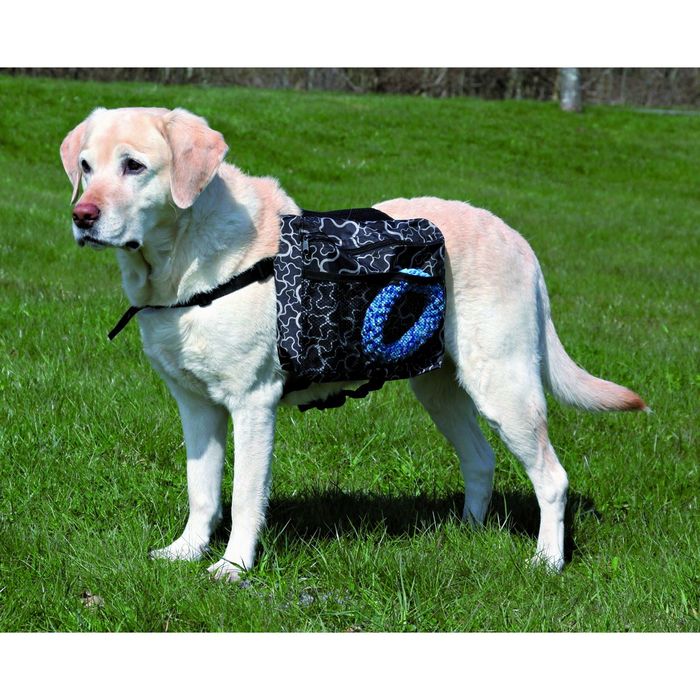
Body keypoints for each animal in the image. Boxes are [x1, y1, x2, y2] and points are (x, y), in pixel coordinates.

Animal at [60, 107, 647, 580]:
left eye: (134, 166)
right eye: (86, 166)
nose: (82, 217)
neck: (180, 267)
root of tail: (519, 239)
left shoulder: (252, 403)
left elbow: (246, 496)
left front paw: (232, 568)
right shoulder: (196, 405)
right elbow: (201, 489)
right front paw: (185, 552)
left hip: (503, 386)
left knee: (552, 478)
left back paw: (547, 561)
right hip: (440, 388)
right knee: (480, 460)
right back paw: (465, 535)